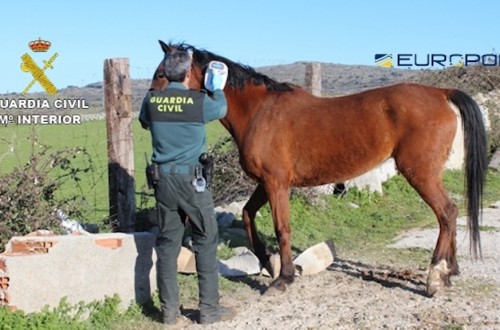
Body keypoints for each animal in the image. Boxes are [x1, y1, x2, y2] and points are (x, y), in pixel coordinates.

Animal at [152, 40, 488, 296]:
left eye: (162, 74)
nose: (150, 113)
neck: (260, 111)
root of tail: (441, 93)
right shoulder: (266, 182)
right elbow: (247, 215)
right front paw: (268, 261)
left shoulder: (276, 183)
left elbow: (282, 228)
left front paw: (283, 278)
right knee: (450, 213)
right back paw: (449, 271)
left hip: (420, 173)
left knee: (447, 213)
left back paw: (435, 275)